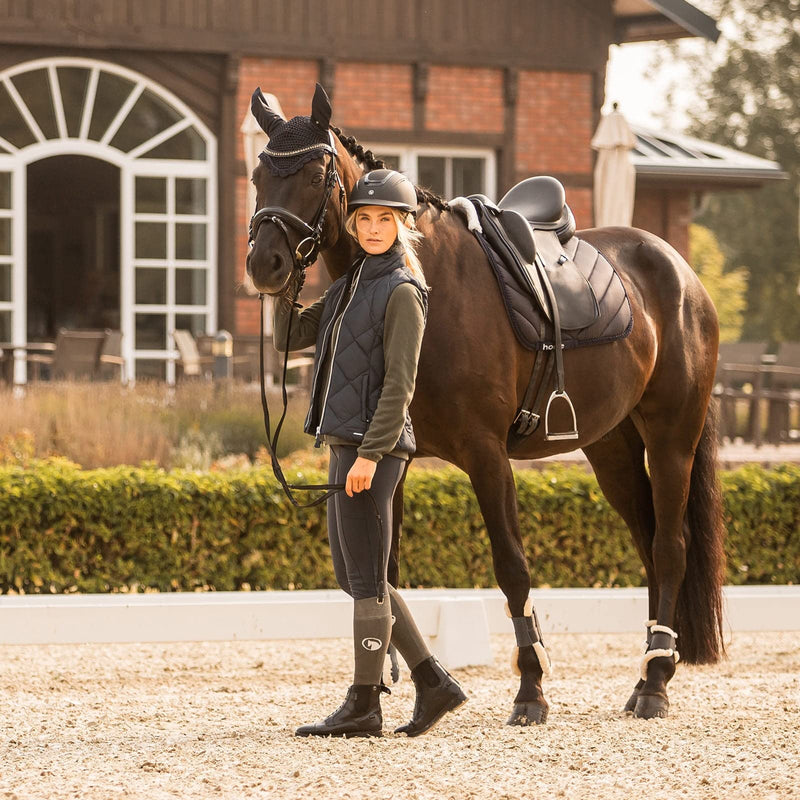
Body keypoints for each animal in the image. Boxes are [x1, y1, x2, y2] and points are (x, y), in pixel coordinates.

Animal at [246, 84, 725, 724]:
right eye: (257, 174)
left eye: (317, 172)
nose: (265, 265)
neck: (424, 282)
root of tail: (682, 274)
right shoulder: (389, 461)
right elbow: (382, 571)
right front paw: (389, 693)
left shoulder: (487, 455)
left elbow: (512, 568)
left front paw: (531, 691)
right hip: (611, 449)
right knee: (648, 544)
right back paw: (654, 668)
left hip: (672, 439)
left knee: (671, 548)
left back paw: (653, 688)